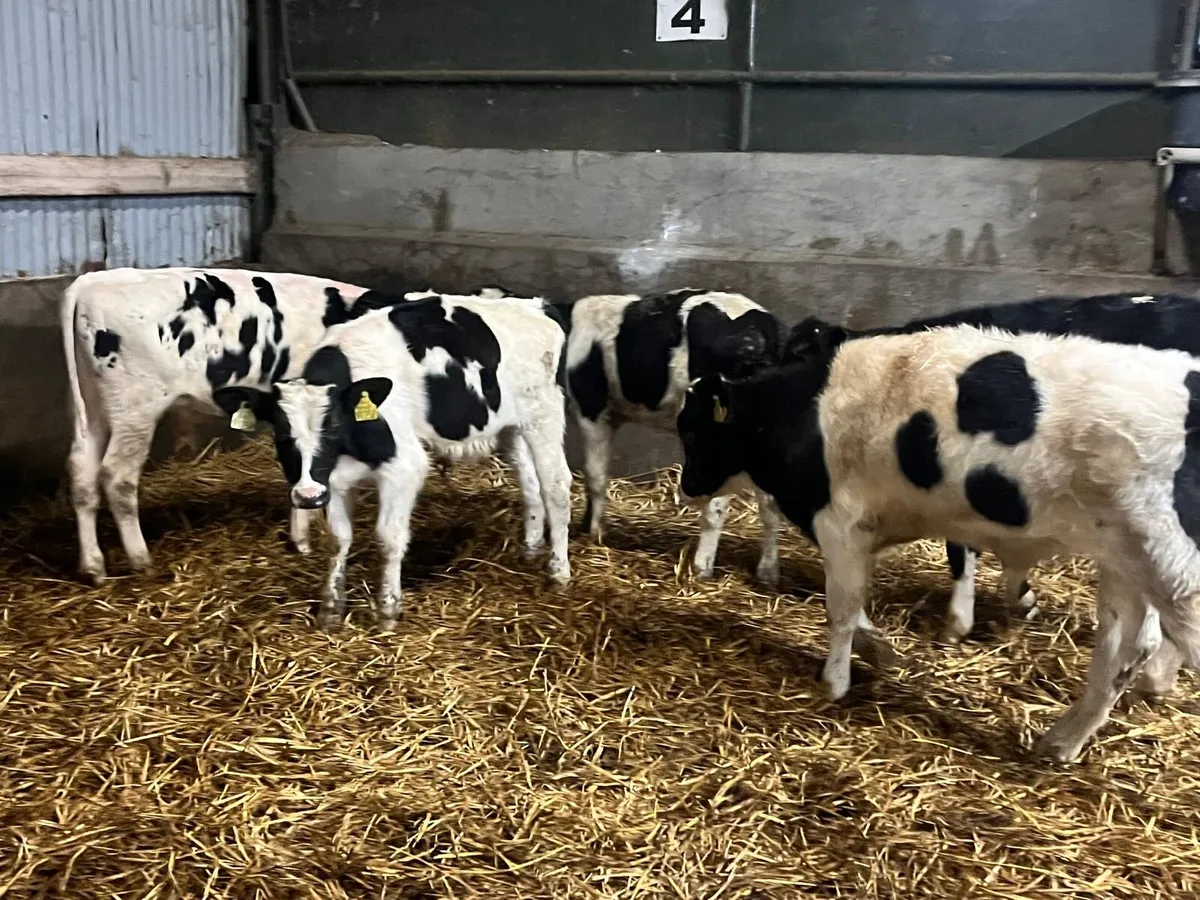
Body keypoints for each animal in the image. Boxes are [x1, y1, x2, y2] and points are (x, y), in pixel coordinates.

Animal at [61, 267, 414, 584]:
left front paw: (303, 535)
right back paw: (141, 561)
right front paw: (307, 538)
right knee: (117, 477)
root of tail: (93, 280)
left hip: (94, 408)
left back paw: (93, 567)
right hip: (135, 408)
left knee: (82, 472)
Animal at [210, 291, 572, 632]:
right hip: (513, 427)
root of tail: (534, 305)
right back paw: (530, 549)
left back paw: (559, 572)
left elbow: (388, 538)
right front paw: (331, 610)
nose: (308, 496)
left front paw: (387, 610)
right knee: (531, 485)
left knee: (556, 486)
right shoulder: (332, 479)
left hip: (545, 412)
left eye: (334, 426)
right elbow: (337, 540)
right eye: (281, 433)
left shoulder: (404, 468)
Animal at [563, 289, 785, 584]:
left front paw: (594, 534)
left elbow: (596, 477)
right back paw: (768, 573)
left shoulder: (592, 409)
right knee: (769, 503)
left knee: (717, 504)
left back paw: (701, 568)